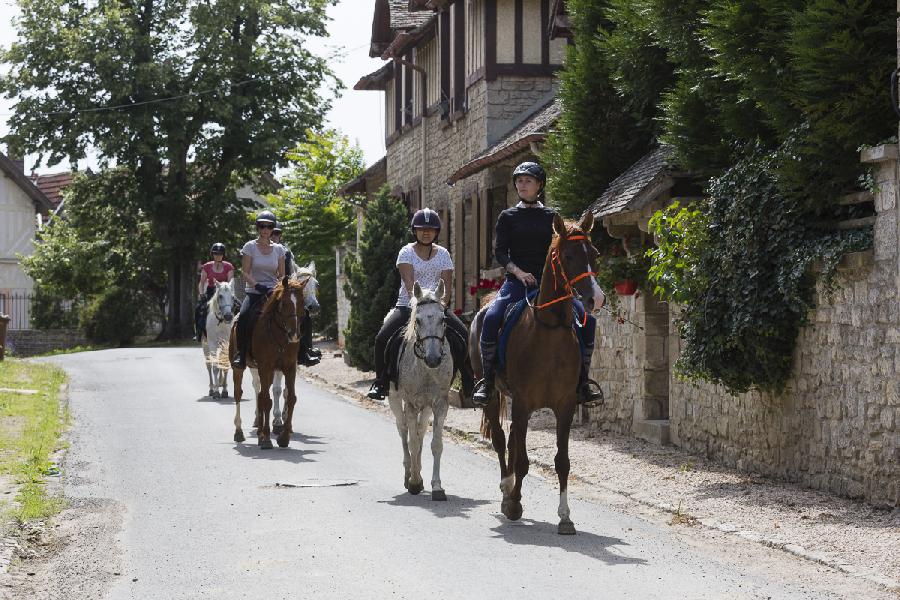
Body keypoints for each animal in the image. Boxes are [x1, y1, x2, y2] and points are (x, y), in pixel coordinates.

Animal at [229, 274, 310, 448]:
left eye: (301, 302)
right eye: (284, 303)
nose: (294, 335)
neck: (279, 334)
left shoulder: (289, 367)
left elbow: (290, 397)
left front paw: (284, 437)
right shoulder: (265, 367)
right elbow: (266, 400)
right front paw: (267, 438)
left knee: (260, 395)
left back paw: (259, 433)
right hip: (239, 368)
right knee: (239, 394)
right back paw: (239, 432)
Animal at [388, 282, 454, 502]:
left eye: (443, 319)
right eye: (417, 320)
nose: (433, 359)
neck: (426, 369)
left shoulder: (440, 404)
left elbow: (436, 444)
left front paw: (437, 487)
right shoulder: (410, 404)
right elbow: (413, 442)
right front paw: (414, 482)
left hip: (425, 408)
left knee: (420, 430)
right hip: (394, 399)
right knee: (403, 430)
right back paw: (409, 473)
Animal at [472, 211, 604, 536]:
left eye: (594, 253)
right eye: (568, 256)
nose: (595, 299)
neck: (549, 330)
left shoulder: (564, 406)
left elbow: (562, 462)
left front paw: (565, 517)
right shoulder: (522, 403)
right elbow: (521, 461)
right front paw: (514, 504)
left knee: (511, 442)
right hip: (494, 396)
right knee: (500, 440)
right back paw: (506, 490)